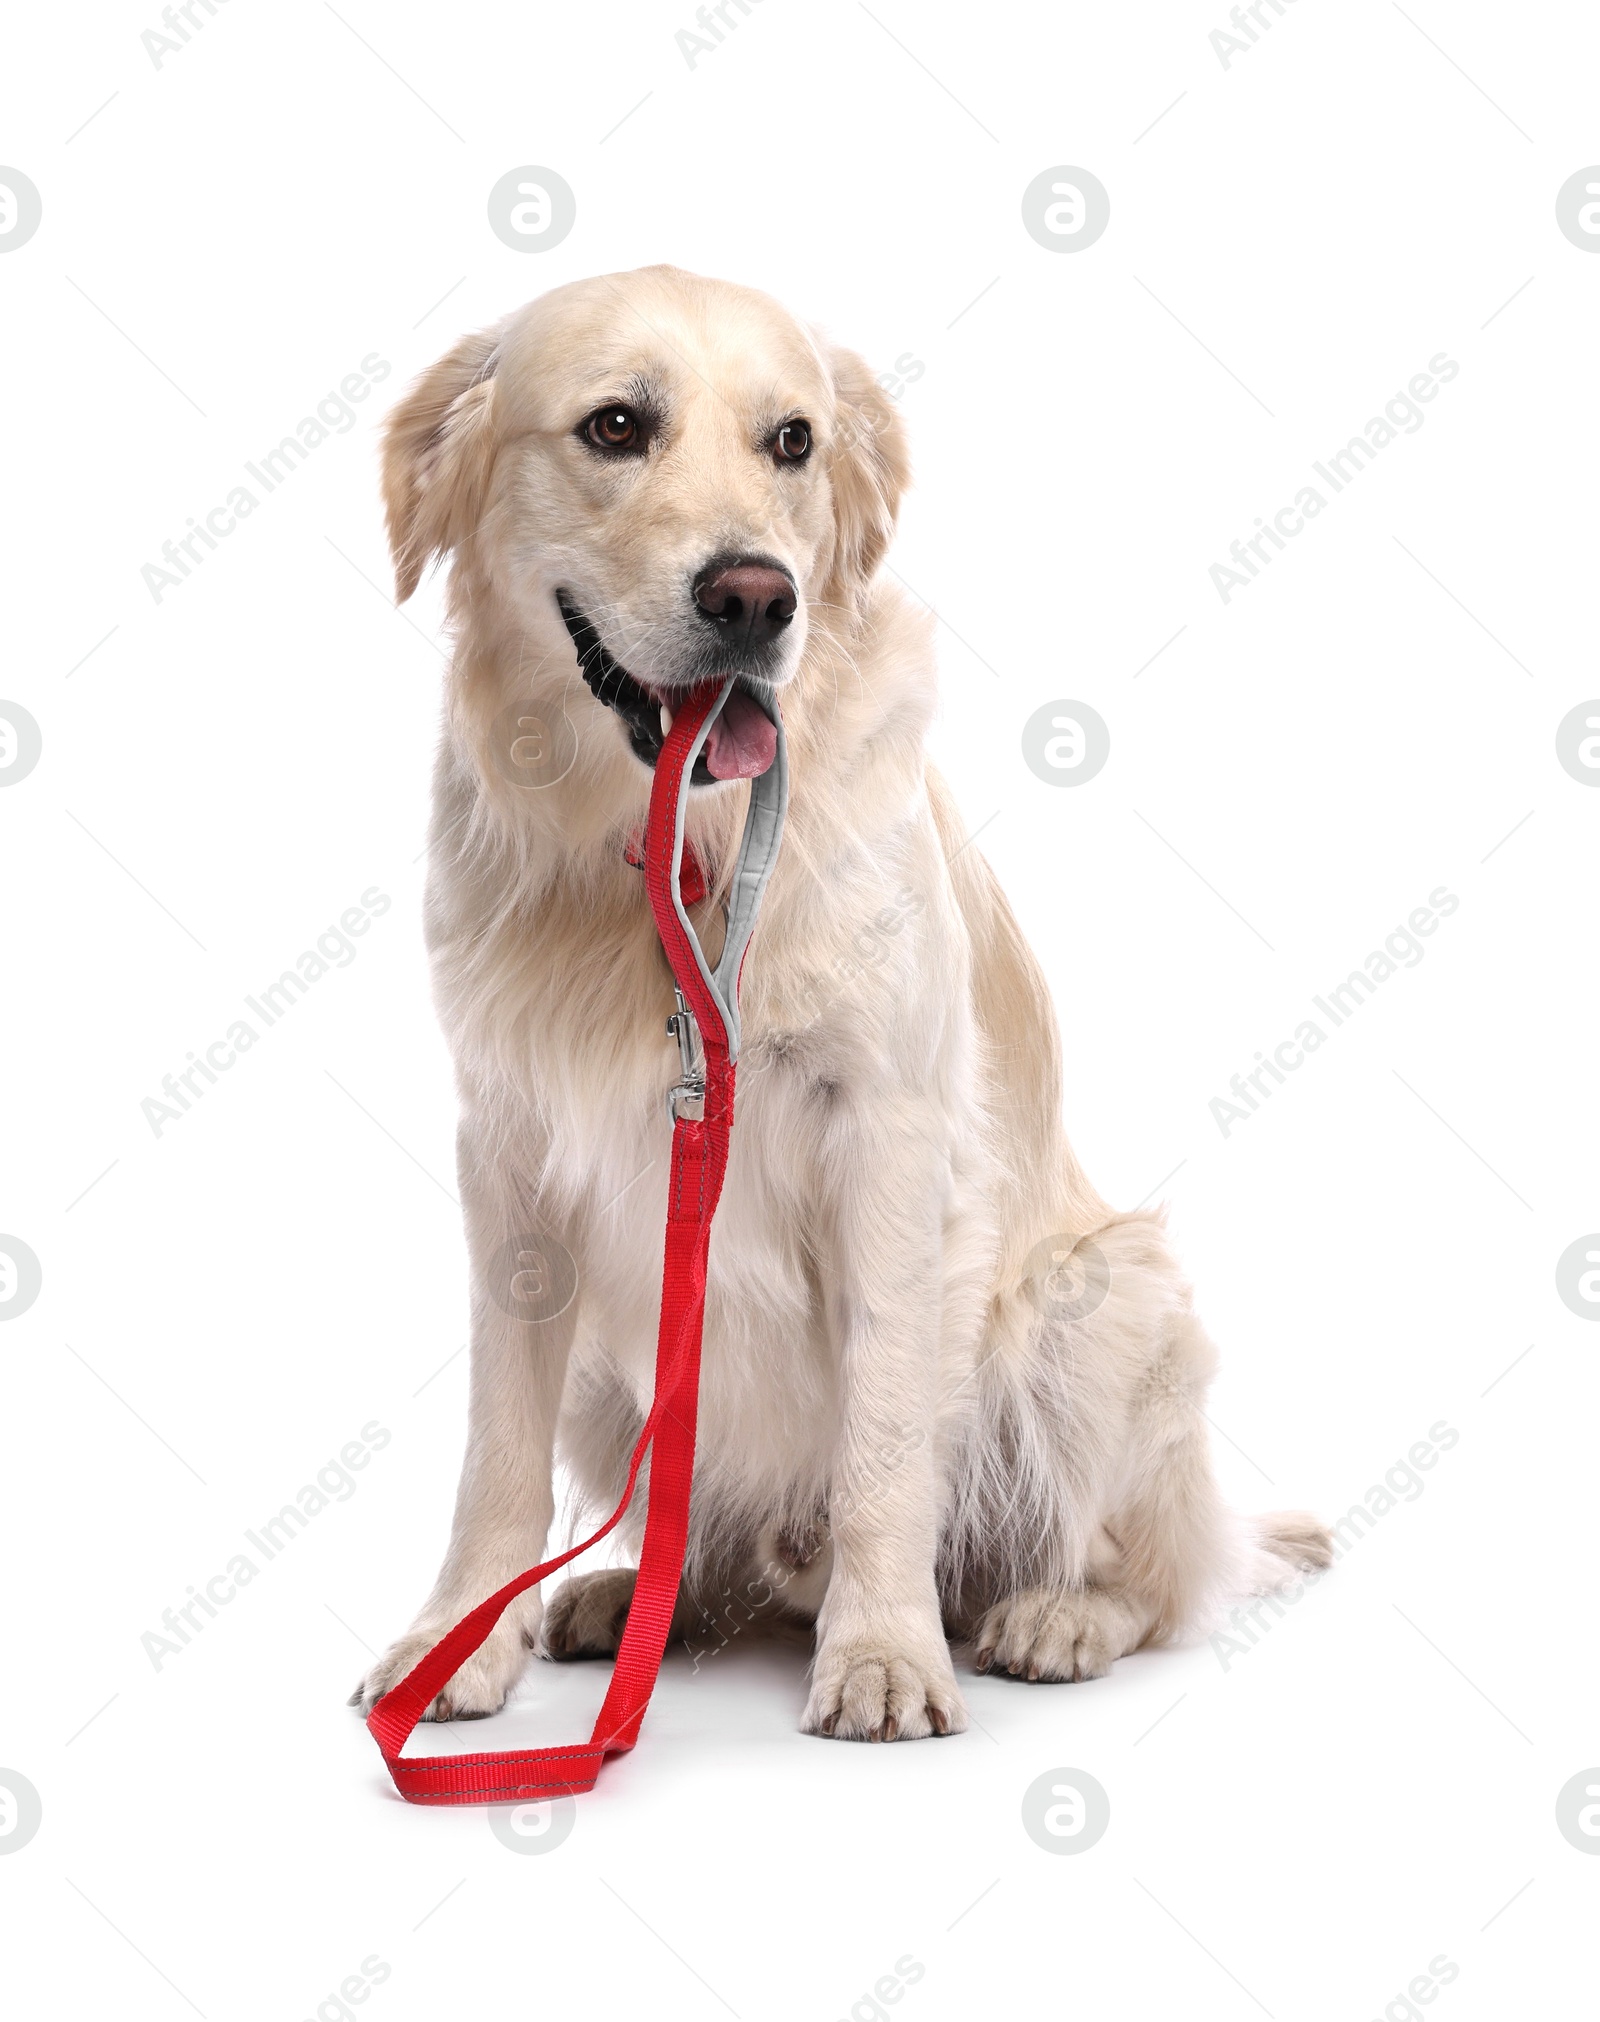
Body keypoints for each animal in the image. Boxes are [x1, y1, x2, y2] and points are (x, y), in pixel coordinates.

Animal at [349, 268, 1326, 1747]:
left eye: (792, 442)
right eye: (616, 424)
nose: (759, 594)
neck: (674, 854)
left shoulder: (890, 1136)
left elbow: (882, 1439)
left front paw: (879, 1655)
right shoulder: (507, 1148)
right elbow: (496, 1449)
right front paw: (458, 1636)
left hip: (1096, 1304)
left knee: (1155, 1572)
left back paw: (1051, 1616)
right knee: (713, 1550)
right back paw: (630, 1594)